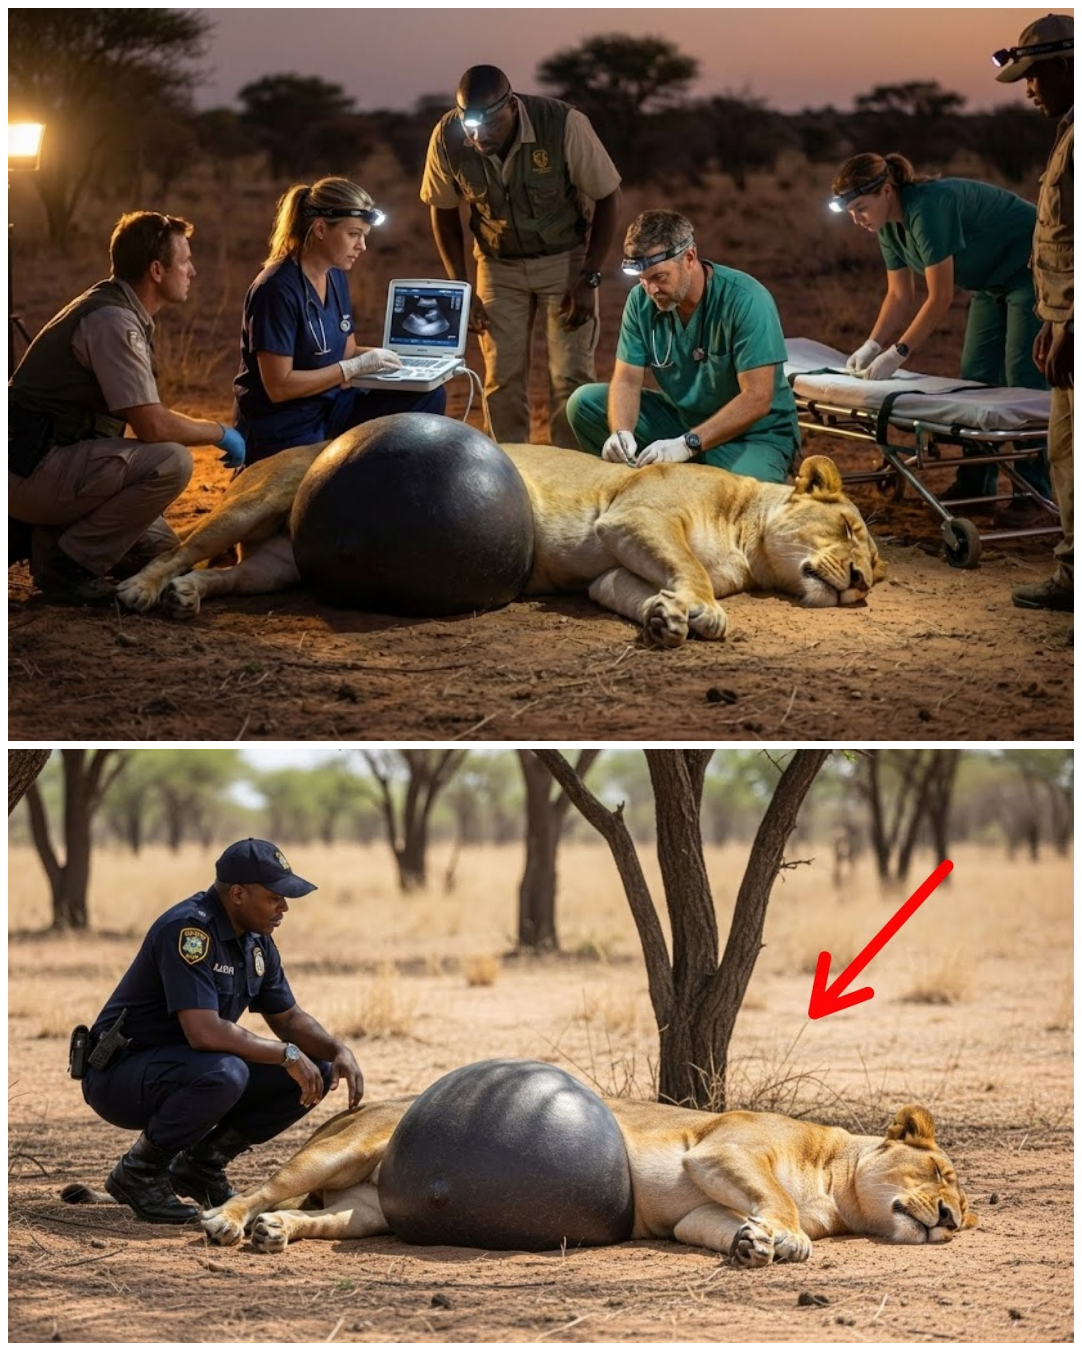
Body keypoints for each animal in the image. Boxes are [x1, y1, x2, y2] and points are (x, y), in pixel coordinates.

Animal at [116, 440, 883, 648]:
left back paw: (187, 597)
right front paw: (704, 613)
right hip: (258, 502)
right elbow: (688, 567)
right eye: (850, 530)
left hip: (278, 566)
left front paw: (667, 617)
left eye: (877, 571)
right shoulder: (633, 517)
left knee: (228, 576)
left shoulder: (610, 568)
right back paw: (140, 589)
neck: (748, 538)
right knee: (179, 548)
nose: (861, 589)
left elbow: (641, 593)